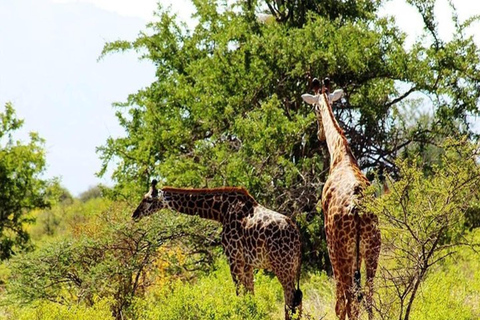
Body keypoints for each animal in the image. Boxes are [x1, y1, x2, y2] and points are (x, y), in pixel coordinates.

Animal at [131, 180, 302, 320]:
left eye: (147, 199)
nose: (135, 214)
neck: (222, 211)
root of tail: (296, 233)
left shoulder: (233, 258)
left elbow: (239, 293)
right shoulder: (247, 262)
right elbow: (249, 294)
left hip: (282, 267)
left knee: (290, 300)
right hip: (292, 268)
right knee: (296, 300)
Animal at [302, 78, 380, 320]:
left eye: (314, 109)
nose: (318, 135)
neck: (341, 155)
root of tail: (357, 209)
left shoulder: (331, 247)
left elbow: (339, 302)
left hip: (340, 250)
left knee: (348, 298)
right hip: (372, 249)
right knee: (369, 296)